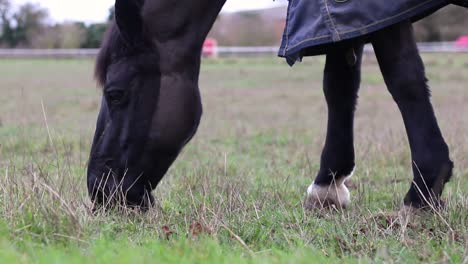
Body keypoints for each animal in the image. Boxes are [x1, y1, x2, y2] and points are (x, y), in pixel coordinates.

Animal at [88, 0, 464, 210]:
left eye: (115, 94)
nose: (98, 190)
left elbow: (403, 79)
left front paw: (423, 191)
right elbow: (339, 86)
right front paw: (327, 185)